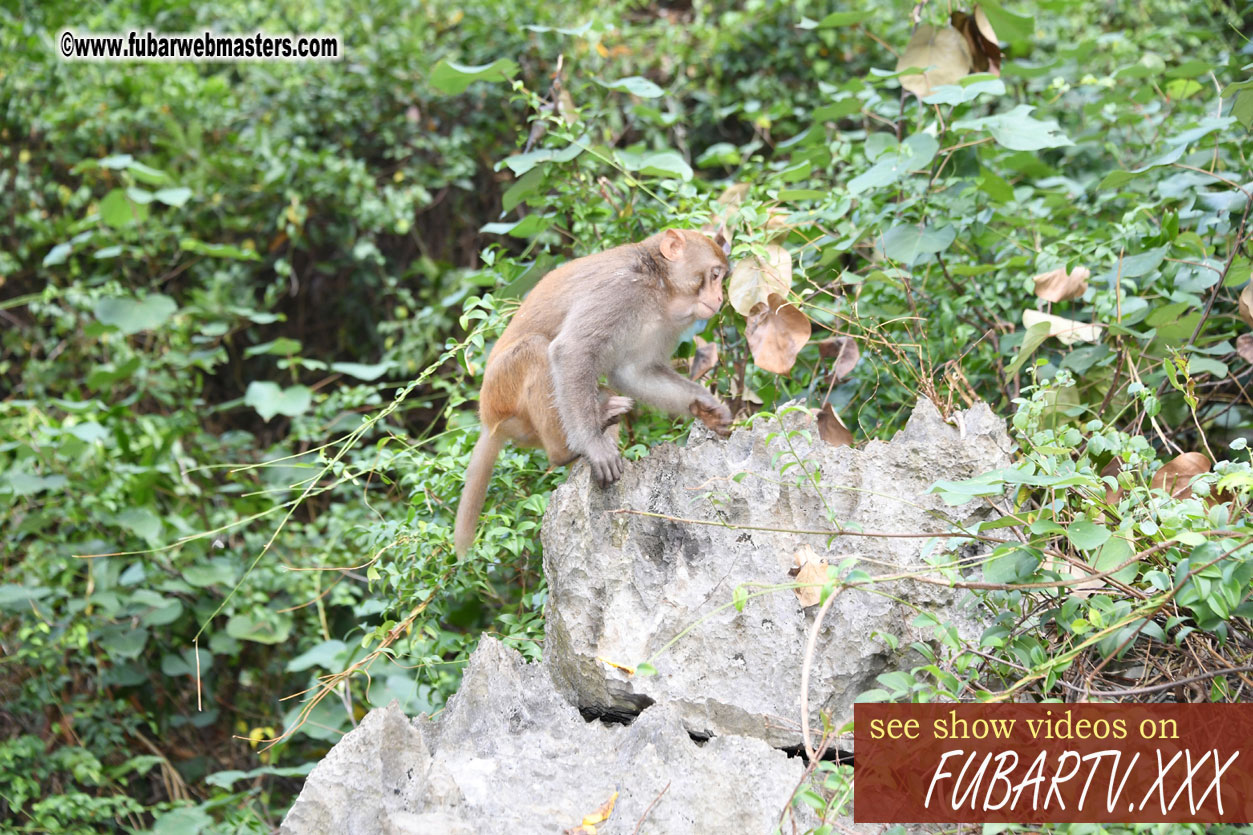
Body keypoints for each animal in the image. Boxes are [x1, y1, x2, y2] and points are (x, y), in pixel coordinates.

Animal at [456, 228, 731, 551]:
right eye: (714, 275)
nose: (720, 297)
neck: (659, 285)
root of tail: (489, 423)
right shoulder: (620, 288)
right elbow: (572, 350)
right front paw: (593, 446)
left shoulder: (664, 323)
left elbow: (634, 374)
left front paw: (707, 405)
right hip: (503, 392)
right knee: (536, 350)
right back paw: (567, 450)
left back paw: (606, 415)